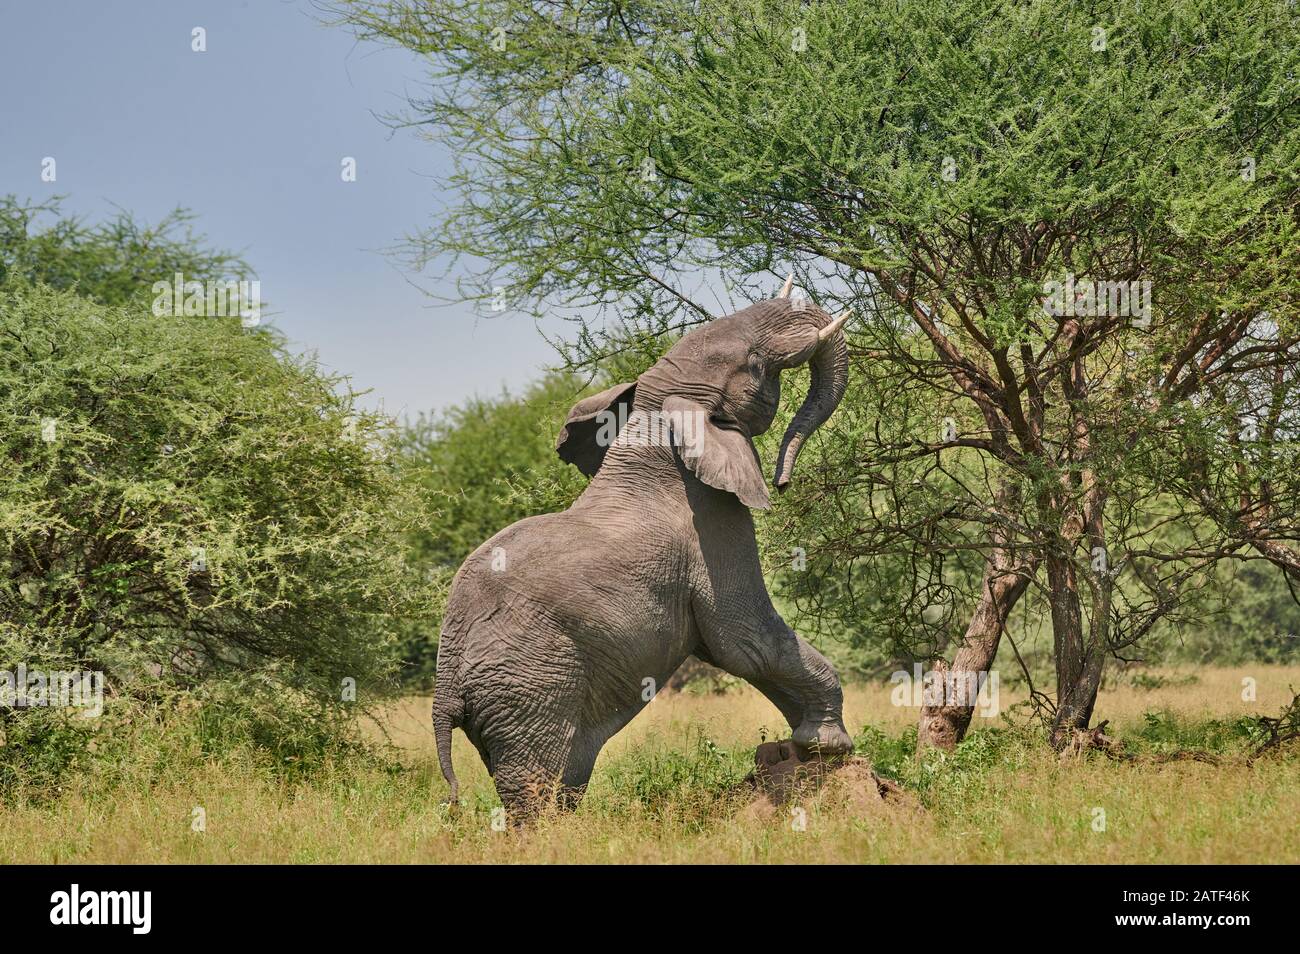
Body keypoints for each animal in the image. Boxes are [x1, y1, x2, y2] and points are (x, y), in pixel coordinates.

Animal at [436, 278, 852, 821]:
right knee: (536, 784)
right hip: (528, 683)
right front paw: (830, 746)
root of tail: (445, 683)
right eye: (755, 363)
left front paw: (802, 749)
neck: (657, 417)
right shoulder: (712, 524)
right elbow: (746, 643)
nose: (784, 482)